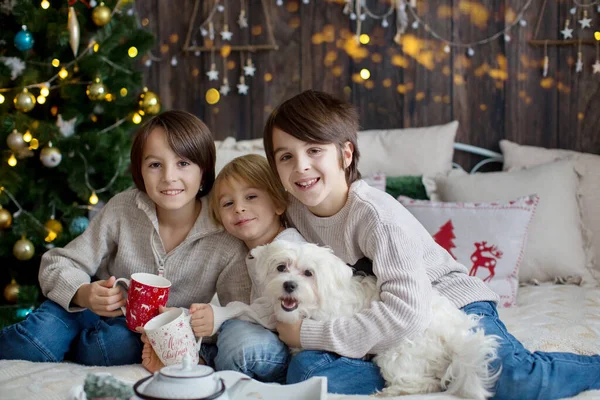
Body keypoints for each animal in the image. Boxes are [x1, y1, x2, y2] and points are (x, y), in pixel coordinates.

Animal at [252, 239, 502, 398]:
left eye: (308, 273)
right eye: (281, 267)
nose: (289, 285)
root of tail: (455, 337)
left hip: (397, 353)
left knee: (428, 384)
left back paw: (391, 392)